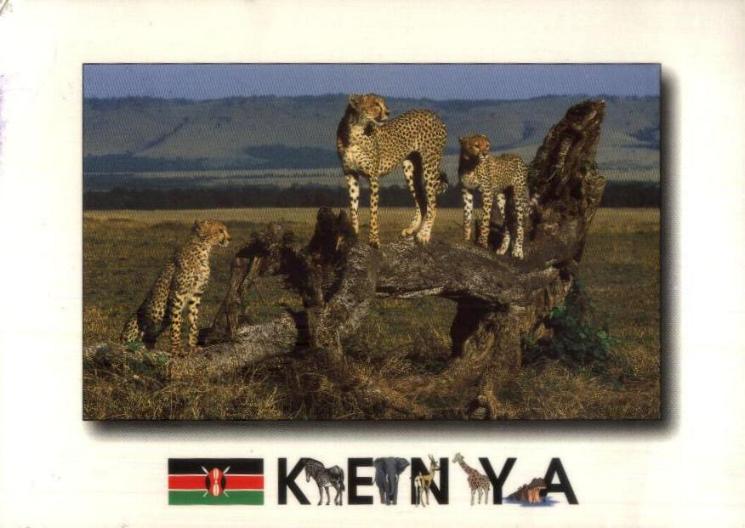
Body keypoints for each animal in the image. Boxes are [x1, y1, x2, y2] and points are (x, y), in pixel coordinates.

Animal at [120, 219, 231, 353]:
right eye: (220, 230)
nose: (229, 239)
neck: (203, 249)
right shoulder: (178, 293)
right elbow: (176, 322)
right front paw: (176, 348)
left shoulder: (196, 294)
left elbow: (194, 321)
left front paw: (192, 345)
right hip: (137, 320)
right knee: (130, 340)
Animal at [336, 93, 447, 248]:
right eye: (375, 104)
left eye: (383, 104)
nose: (388, 112)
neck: (356, 129)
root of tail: (432, 114)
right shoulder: (350, 174)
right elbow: (353, 207)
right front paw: (353, 236)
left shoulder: (373, 176)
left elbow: (373, 211)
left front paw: (374, 240)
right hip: (409, 168)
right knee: (422, 201)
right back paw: (411, 229)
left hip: (430, 164)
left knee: (433, 203)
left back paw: (424, 235)